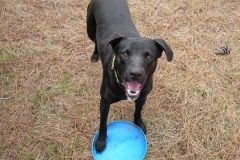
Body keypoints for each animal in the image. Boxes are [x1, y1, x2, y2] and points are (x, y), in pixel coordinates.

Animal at [87, 0, 173, 152]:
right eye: (125, 54)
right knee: (97, 41)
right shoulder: (104, 102)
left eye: (149, 56)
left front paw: (139, 123)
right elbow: (103, 124)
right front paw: (101, 141)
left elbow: (138, 112)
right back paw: (96, 53)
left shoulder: (142, 97)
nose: (135, 74)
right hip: (90, 28)